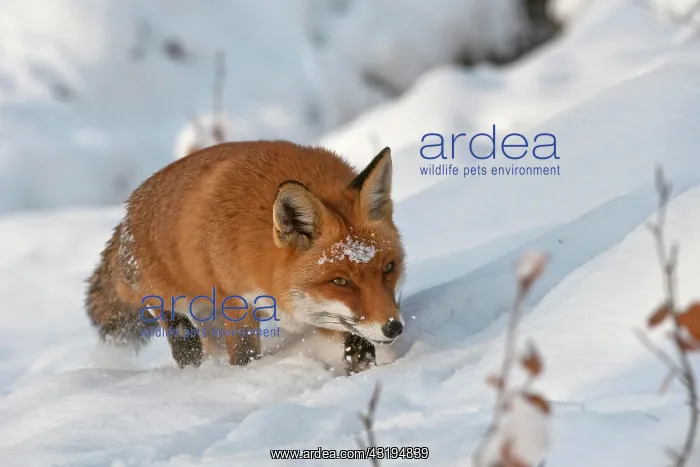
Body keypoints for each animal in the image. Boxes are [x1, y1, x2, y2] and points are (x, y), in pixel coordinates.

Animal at [85, 140, 406, 375]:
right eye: (340, 281)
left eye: (389, 268)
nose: (394, 327)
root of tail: (126, 214)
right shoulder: (236, 302)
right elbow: (244, 356)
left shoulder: (317, 313)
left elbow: (352, 335)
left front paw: (361, 367)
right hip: (174, 301)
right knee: (176, 328)